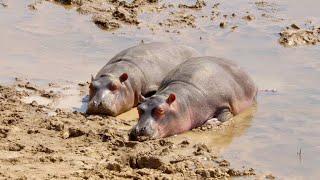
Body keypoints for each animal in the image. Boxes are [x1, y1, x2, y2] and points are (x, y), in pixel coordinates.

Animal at [129, 57, 258, 140]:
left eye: (161, 110)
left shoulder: (223, 103)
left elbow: (225, 115)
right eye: (139, 109)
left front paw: (210, 122)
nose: (138, 129)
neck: (182, 103)